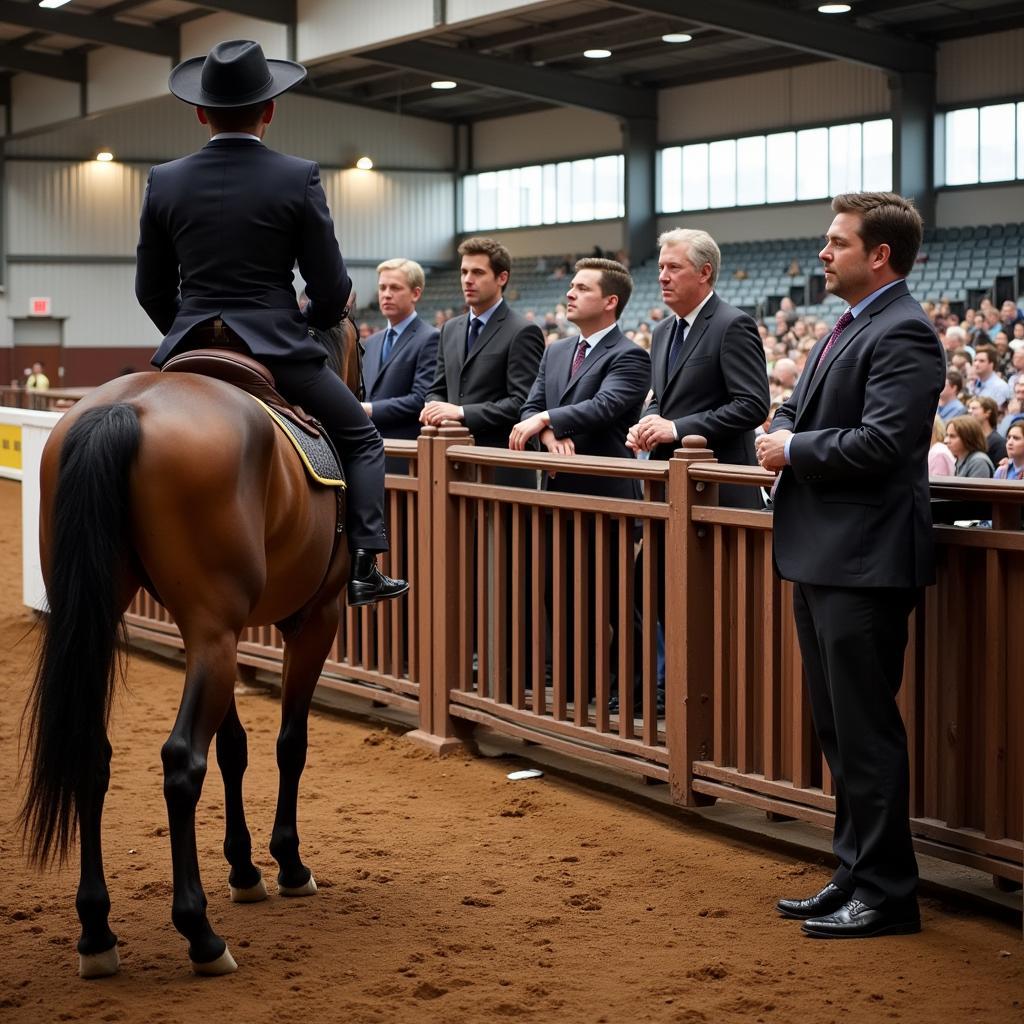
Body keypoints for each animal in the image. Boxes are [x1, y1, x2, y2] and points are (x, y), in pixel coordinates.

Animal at [18, 319, 364, 974]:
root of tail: (124, 409)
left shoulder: (219, 632)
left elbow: (234, 747)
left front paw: (246, 869)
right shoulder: (313, 618)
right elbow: (289, 743)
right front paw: (287, 864)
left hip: (149, 621)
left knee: (93, 753)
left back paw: (97, 932)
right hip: (218, 631)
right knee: (182, 762)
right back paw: (199, 933)